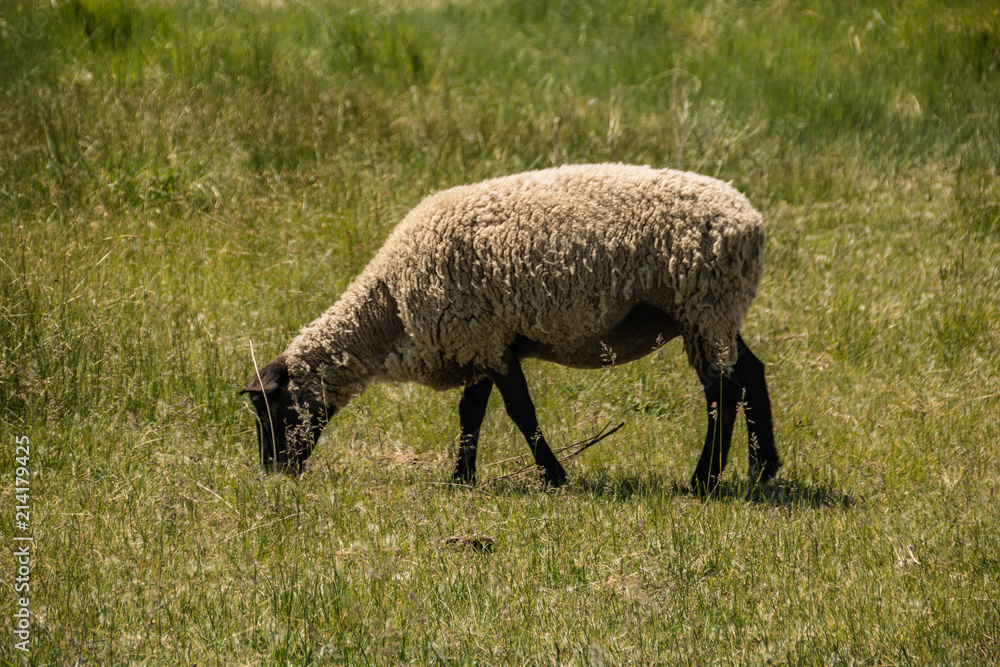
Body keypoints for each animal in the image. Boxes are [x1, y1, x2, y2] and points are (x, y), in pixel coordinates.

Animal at [242, 163, 780, 491]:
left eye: (272, 412)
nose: (274, 473)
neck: (389, 311)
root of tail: (750, 221)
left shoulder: (486, 341)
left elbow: (520, 412)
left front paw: (553, 477)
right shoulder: (477, 341)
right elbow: (471, 413)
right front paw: (461, 477)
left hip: (704, 304)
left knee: (722, 390)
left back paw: (704, 481)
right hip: (712, 313)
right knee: (750, 373)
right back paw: (763, 469)